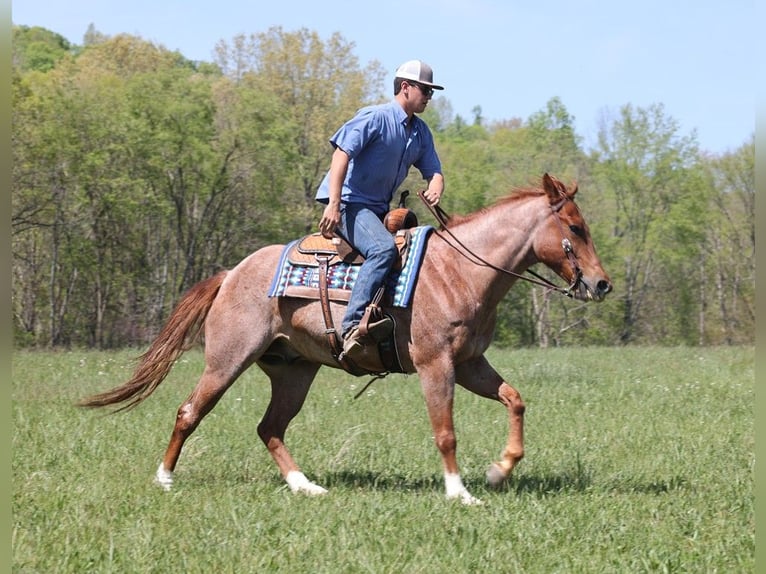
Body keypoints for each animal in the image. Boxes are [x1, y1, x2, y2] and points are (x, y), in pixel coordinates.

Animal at [81, 173, 616, 506]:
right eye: (574, 227)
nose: (601, 284)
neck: (460, 270)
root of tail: (231, 273)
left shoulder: (469, 364)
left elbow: (515, 399)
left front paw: (499, 470)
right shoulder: (436, 365)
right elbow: (445, 431)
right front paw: (460, 493)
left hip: (294, 371)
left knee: (270, 428)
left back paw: (306, 487)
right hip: (226, 361)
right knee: (190, 411)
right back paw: (165, 478)